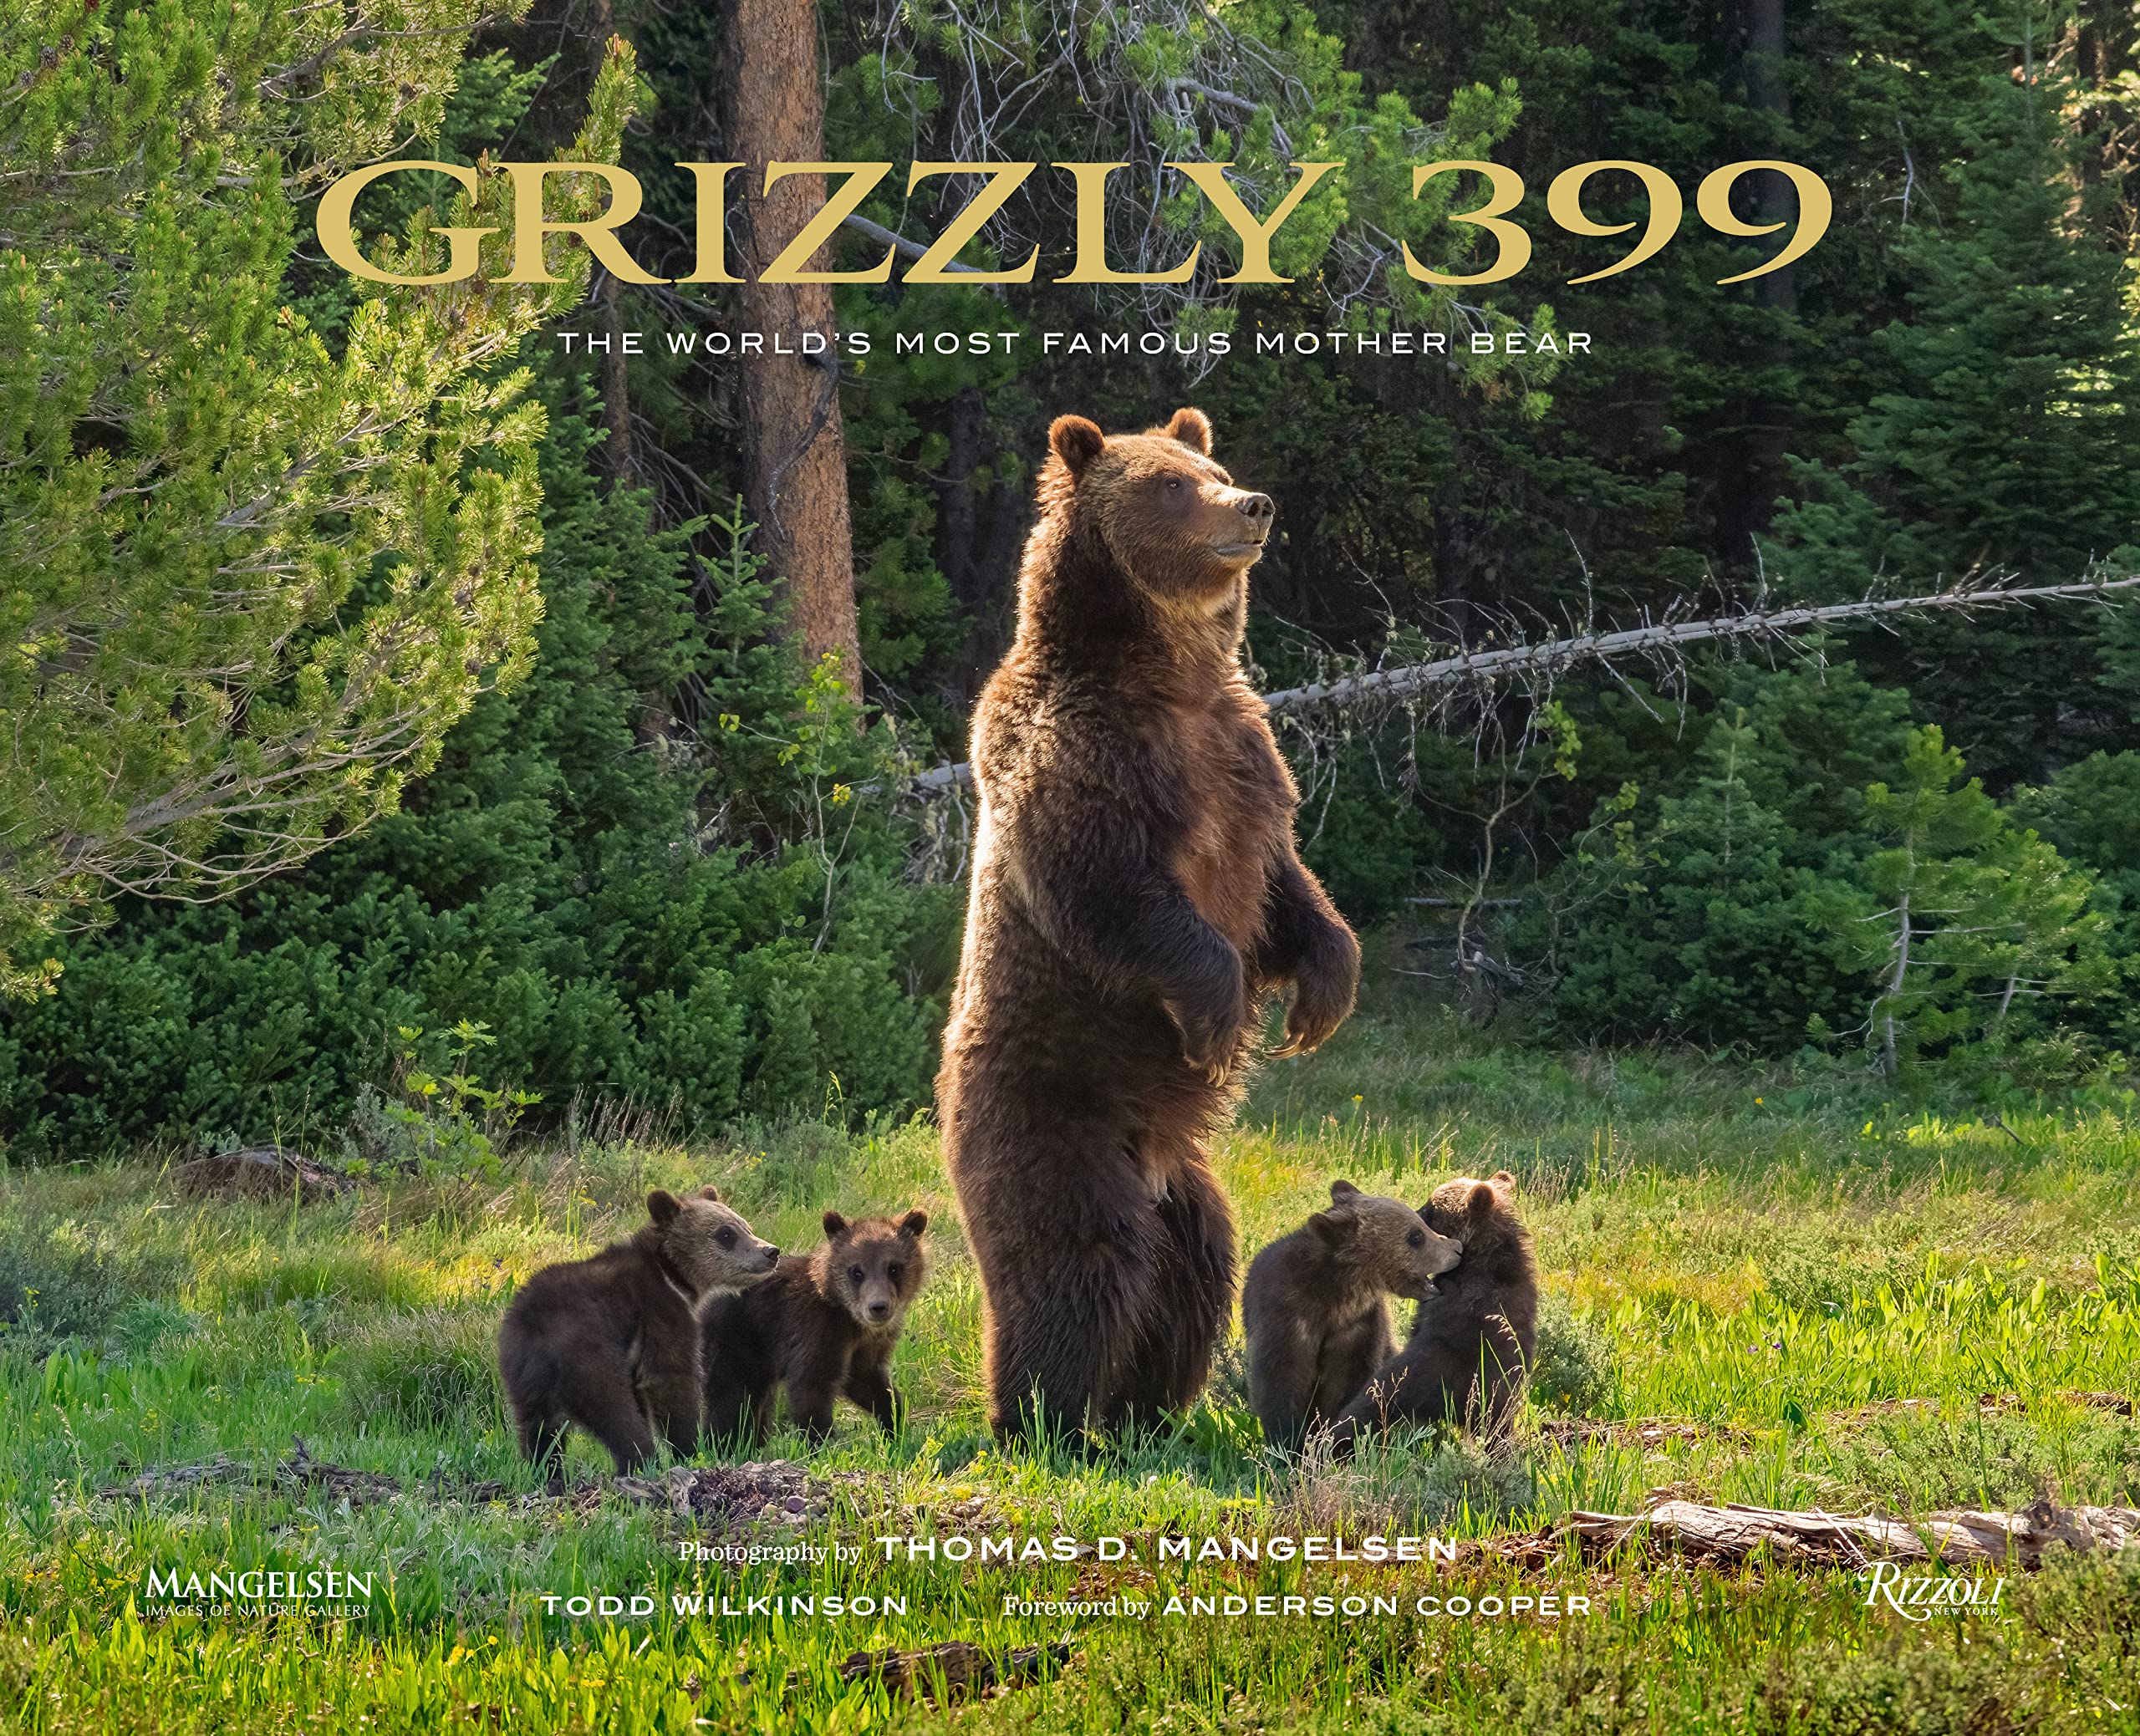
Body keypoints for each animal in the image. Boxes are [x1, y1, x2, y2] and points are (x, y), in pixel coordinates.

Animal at [498, 1186, 778, 1483]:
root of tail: (536, 1330)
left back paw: (547, 1473)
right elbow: (671, 1379)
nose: (770, 1251)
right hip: (586, 1355)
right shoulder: (658, 1312)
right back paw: (641, 1461)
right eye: (726, 1233)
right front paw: (690, 1448)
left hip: (523, 1374)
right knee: (617, 1413)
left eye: (745, 1225)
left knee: (537, 1429)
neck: (673, 1275)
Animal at [700, 1209, 929, 1446]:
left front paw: (895, 1424)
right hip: (732, 1342)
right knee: (732, 1400)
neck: (849, 1317)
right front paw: (822, 1440)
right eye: (857, 1271)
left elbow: (868, 1382)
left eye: (894, 1268)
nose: (878, 1307)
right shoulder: (813, 1329)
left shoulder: (865, 1347)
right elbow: (810, 1389)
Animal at [936, 406, 1361, 1444]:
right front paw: (1218, 1015)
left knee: (1192, 1269)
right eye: (1169, 485)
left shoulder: (1244, 757)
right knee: (1078, 1261)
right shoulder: (1083, 757)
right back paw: (1043, 1418)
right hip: (1049, 1114)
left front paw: (1320, 998)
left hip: (1185, 1185)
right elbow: (1116, 894)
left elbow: (1287, 888)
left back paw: (1148, 1411)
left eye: (1213, 465)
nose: (1252, 504)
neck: (1168, 674)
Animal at [1242, 1180, 1465, 1453]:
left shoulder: (1358, 1326)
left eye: (1421, 1224)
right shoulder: (1286, 1318)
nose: (1456, 1249)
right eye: (1415, 1237)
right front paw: (1290, 1444)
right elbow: (1281, 1386)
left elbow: (1348, 1385)